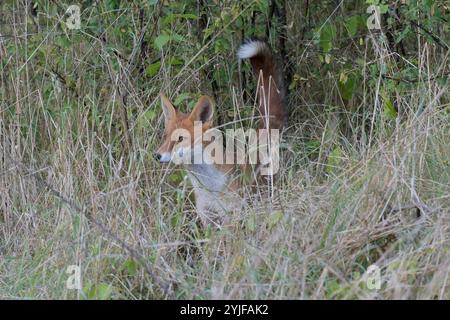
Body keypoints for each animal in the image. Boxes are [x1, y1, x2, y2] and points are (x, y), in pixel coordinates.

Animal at [156, 39, 284, 225]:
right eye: (165, 137)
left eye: (180, 138)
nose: (157, 155)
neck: (209, 187)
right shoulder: (206, 216)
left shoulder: (231, 216)